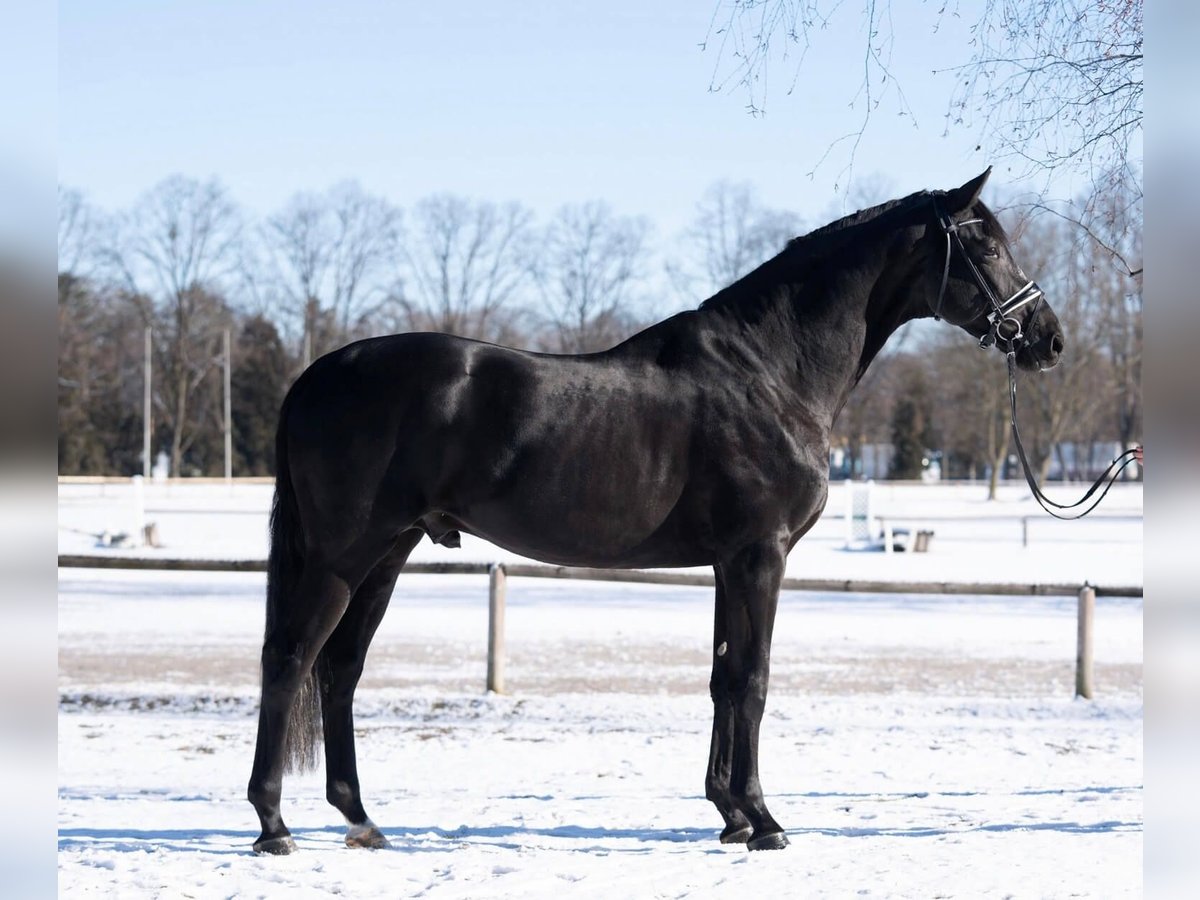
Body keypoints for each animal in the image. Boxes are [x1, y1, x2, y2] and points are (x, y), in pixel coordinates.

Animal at [248, 170, 1065, 859]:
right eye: (988, 244)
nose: (1048, 340)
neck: (770, 372)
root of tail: (315, 376)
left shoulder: (728, 562)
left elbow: (723, 677)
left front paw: (730, 817)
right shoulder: (760, 555)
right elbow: (754, 678)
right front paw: (765, 822)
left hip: (388, 554)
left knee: (340, 671)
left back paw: (361, 820)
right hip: (344, 557)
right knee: (291, 662)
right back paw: (273, 826)